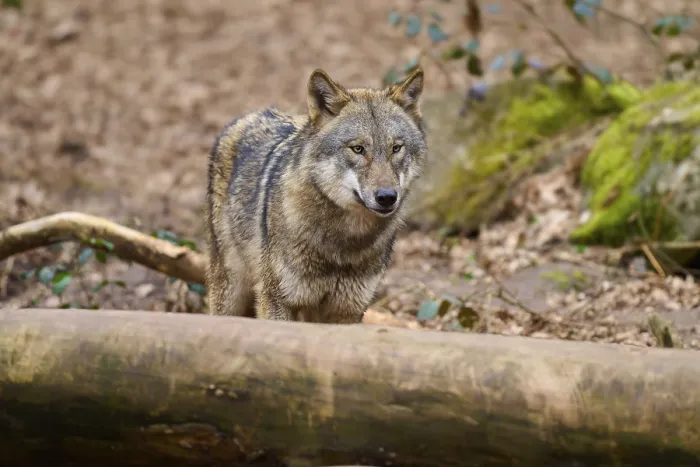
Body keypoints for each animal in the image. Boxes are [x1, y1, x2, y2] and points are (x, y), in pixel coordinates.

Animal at [206, 67, 427, 323]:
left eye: (396, 148)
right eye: (358, 149)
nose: (387, 197)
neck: (343, 244)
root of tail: (251, 115)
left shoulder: (348, 310)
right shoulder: (276, 300)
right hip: (230, 294)